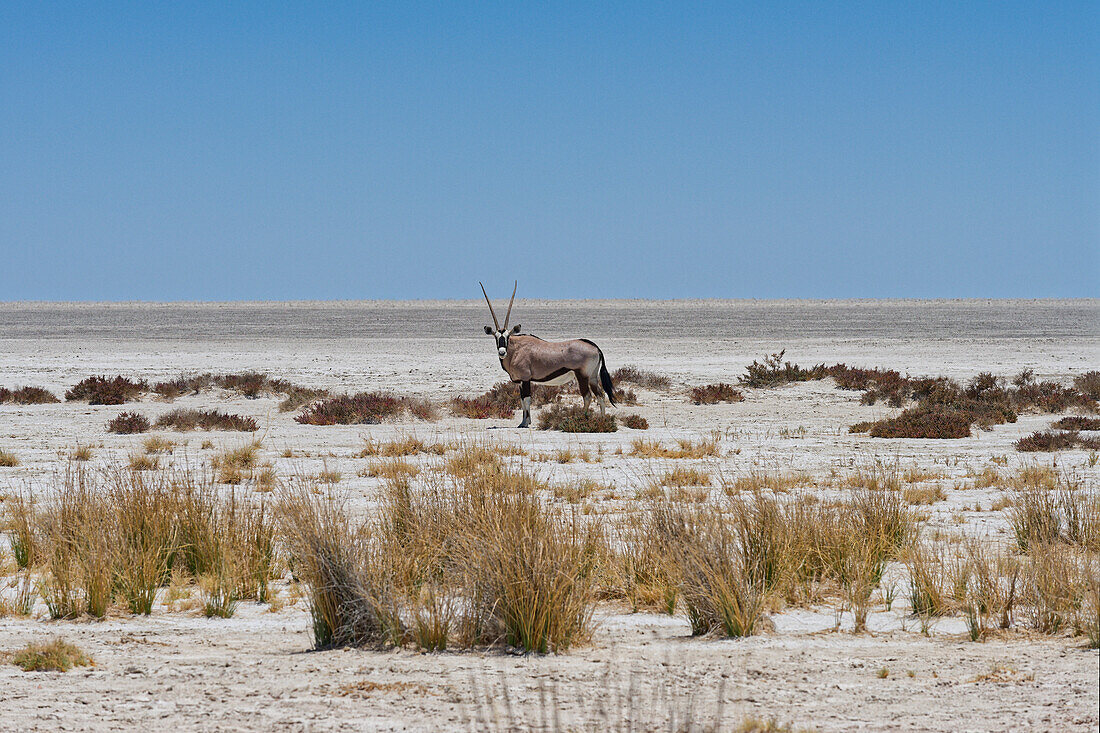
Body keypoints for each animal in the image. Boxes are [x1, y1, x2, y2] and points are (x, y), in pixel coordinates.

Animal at [481, 280, 620, 429]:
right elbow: (522, 400)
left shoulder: (525, 379)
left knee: (587, 396)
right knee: (600, 395)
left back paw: (580, 419)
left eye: (507, 337)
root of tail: (595, 347)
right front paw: (523, 422)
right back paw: (602, 420)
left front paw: (525, 423)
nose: (502, 352)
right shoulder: (520, 382)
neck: (516, 350)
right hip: (592, 377)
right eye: (496, 337)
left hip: (582, 376)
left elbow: (527, 400)